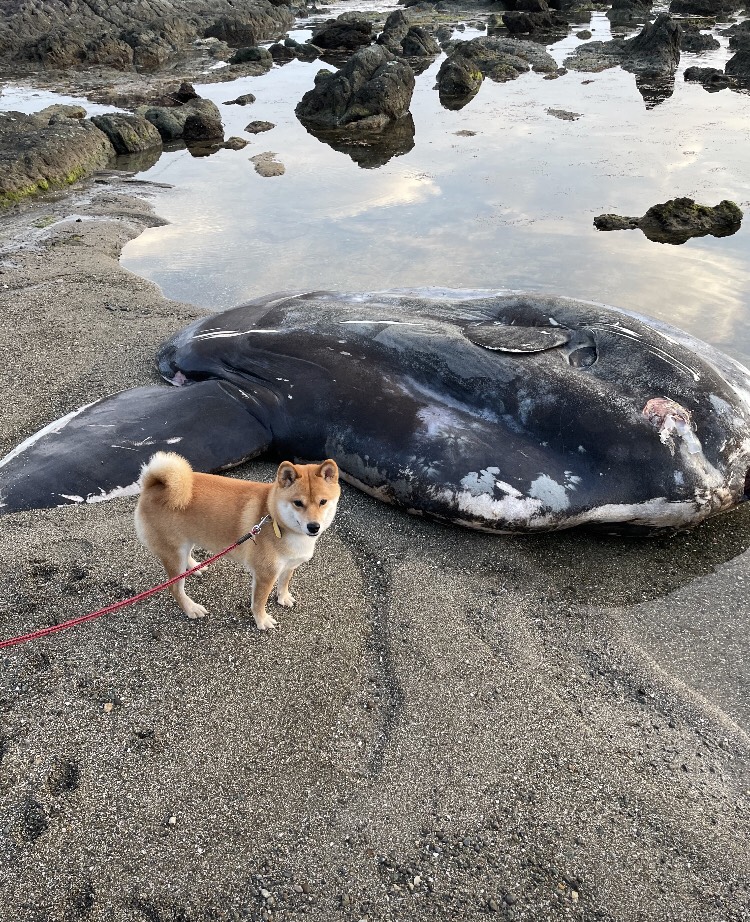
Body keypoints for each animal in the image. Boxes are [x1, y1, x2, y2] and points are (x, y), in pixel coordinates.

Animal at [135, 452, 340, 628]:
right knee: (175, 588)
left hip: (186, 540)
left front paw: (283, 597)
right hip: (173, 552)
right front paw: (261, 620)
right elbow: (259, 602)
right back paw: (191, 608)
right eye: (298, 503)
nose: (314, 526)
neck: (274, 518)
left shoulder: (289, 565)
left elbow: (284, 582)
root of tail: (152, 485)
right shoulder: (265, 575)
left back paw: (194, 566)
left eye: (323, 502)